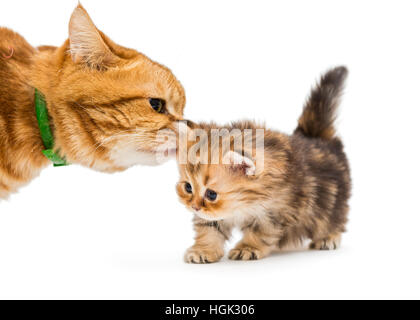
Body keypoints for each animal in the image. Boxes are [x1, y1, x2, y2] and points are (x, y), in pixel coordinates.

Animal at [177, 67, 352, 262]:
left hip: (333, 199)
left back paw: (328, 237)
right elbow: (209, 228)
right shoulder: (214, 216)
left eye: (212, 194)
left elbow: (260, 232)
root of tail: (314, 136)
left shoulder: (277, 212)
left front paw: (247, 248)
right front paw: (203, 250)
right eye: (188, 187)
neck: (245, 204)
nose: (194, 207)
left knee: (333, 217)